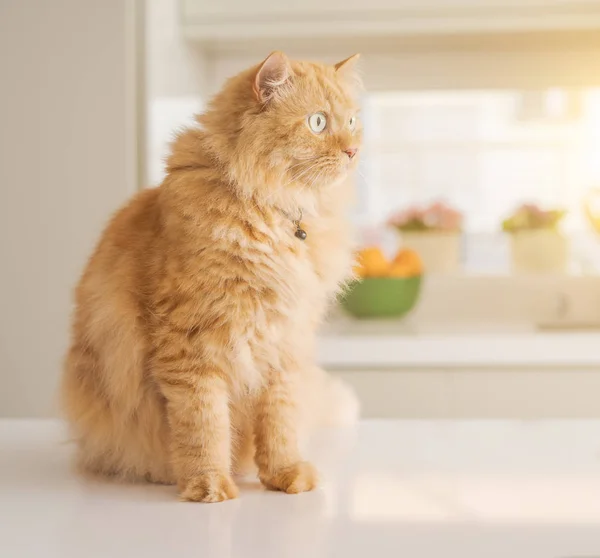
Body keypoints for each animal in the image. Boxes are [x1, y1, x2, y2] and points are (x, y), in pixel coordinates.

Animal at [62, 52, 360, 506]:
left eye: (353, 121)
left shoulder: (285, 347)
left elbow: (280, 425)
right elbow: (205, 426)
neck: (274, 213)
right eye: (318, 122)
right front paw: (208, 485)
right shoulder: (191, 346)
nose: (353, 150)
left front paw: (286, 475)